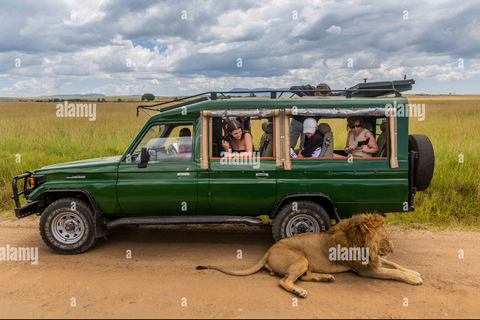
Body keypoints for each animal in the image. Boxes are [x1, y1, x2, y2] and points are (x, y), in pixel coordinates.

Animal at [197, 214, 422, 298]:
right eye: (385, 238)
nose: (393, 247)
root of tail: (268, 251)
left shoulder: (375, 261)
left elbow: (395, 265)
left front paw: (415, 272)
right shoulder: (367, 270)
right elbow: (394, 273)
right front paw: (414, 279)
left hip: (304, 263)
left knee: (304, 277)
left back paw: (326, 278)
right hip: (299, 259)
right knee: (285, 281)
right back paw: (300, 292)